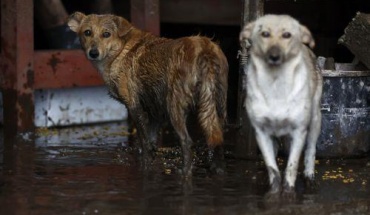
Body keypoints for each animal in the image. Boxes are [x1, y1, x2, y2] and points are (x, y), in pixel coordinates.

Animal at [67, 12, 228, 176]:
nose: (93, 53)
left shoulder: (135, 107)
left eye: (106, 34)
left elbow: (144, 145)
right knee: (218, 138)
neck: (120, 50)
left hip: (175, 107)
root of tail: (204, 50)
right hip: (218, 105)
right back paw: (218, 169)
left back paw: (185, 172)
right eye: (87, 32)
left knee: (187, 141)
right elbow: (151, 144)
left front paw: (144, 168)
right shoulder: (156, 113)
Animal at [240, 14, 320, 200]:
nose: (274, 56)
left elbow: (292, 166)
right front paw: (274, 193)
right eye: (265, 34)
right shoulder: (261, 132)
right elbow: (272, 167)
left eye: (287, 35)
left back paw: (309, 177)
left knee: (310, 151)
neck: (275, 84)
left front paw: (289, 193)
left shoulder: (299, 131)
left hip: (315, 121)